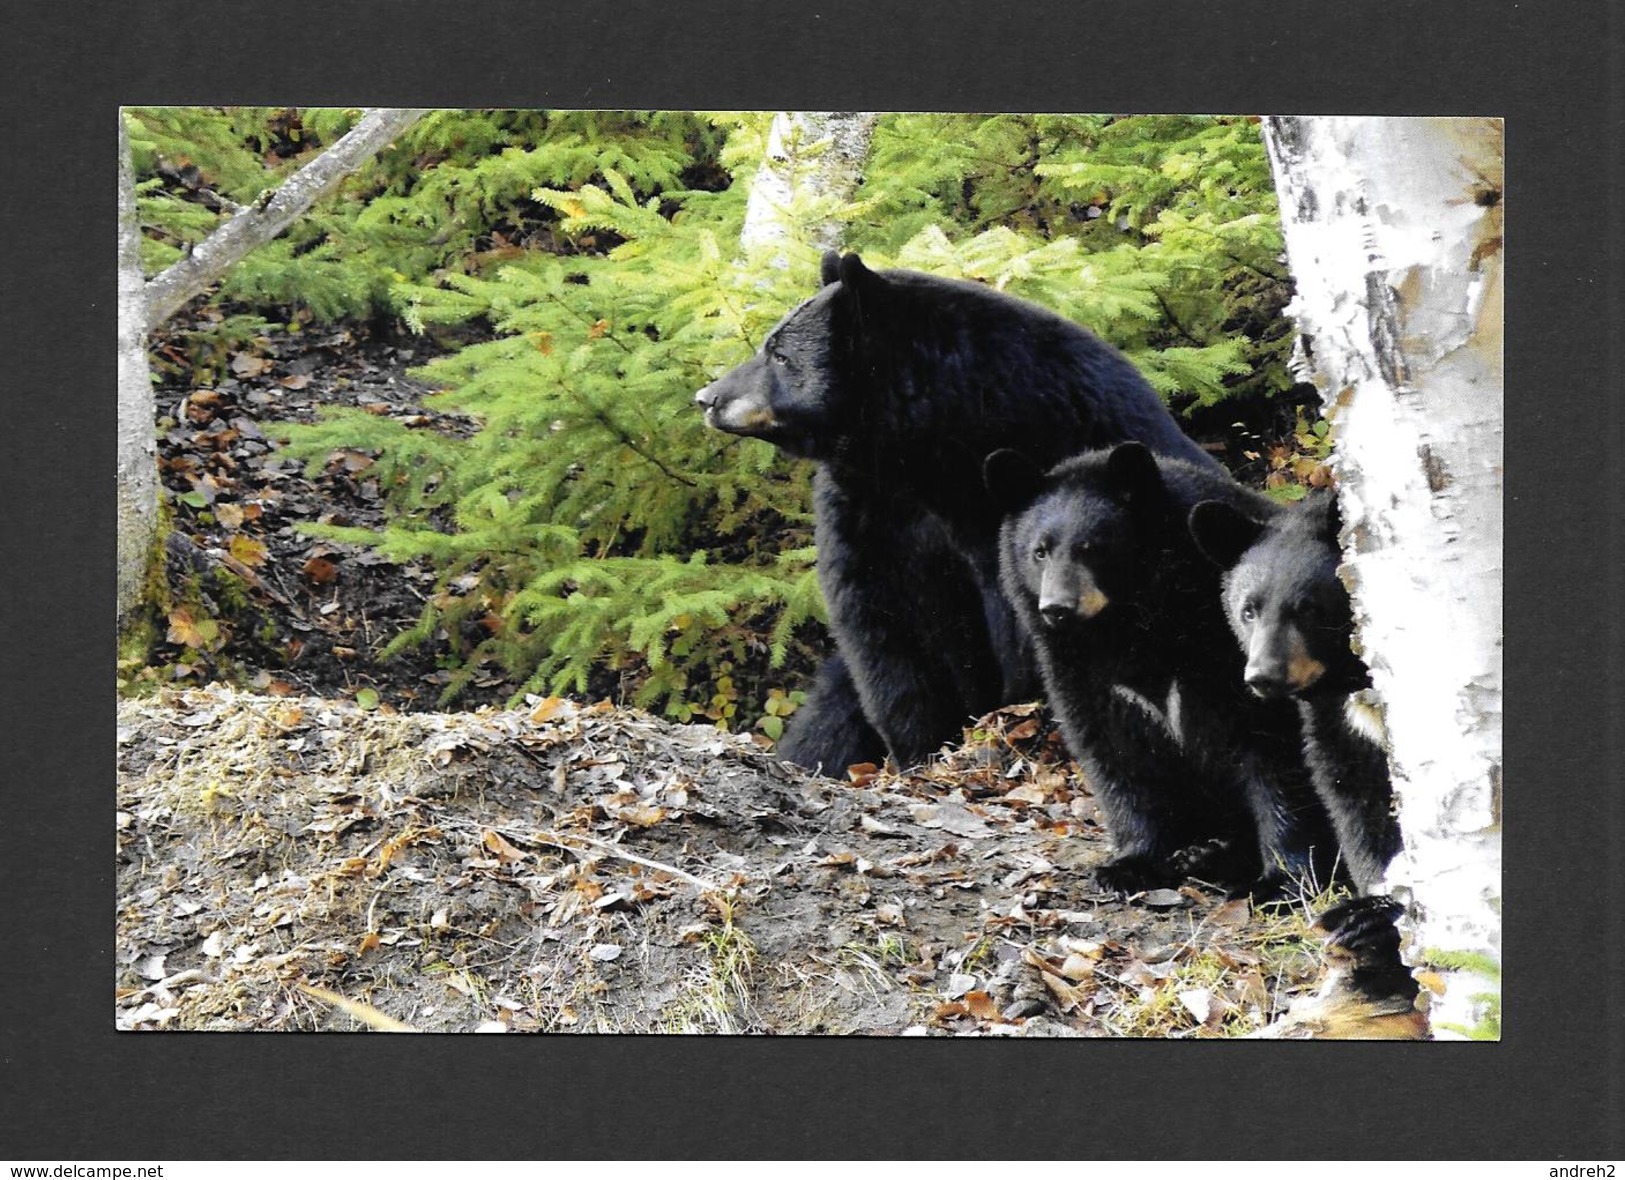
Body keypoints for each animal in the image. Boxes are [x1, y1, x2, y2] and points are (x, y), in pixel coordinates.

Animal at [692, 253, 1215, 770]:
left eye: (779, 354)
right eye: (769, 345)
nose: (707, 397)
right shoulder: (874, 502)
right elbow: (886, 618)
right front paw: (922, 747)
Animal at [981, 442, 1339, 897]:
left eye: (1093, 547)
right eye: (1039, 551)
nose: (1057, 608)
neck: (1128, 624)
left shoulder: (1230, 654)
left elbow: (1276, 755)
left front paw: (1281, 881)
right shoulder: (1079, 670)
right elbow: (1115, 755)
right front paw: (1127, 866)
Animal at [1189, 490, 1404, 897]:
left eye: (1308, 608)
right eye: (1249, 611)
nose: (1263, 676)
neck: (1354, 678)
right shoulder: (1337, 721)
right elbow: (1354, 799)